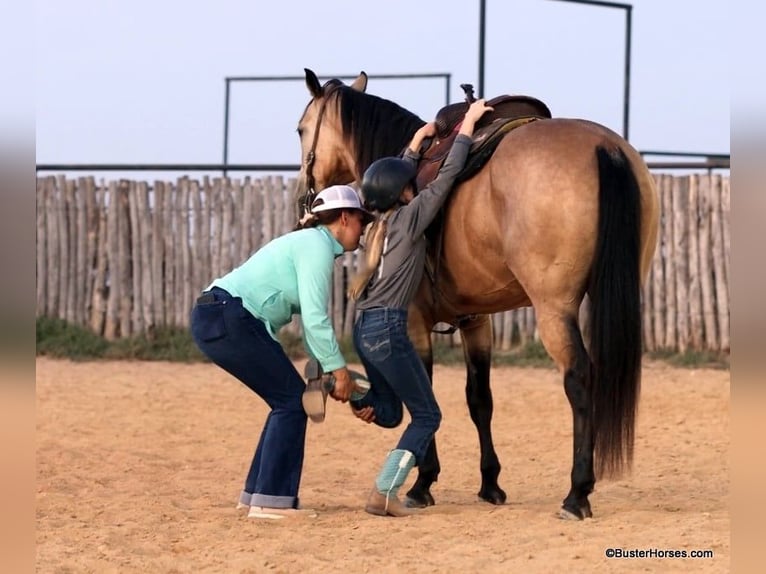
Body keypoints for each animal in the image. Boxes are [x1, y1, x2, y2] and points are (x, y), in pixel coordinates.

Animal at [294, 68, 659, 520]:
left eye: (301, 129)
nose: (305, 198)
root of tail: (604, 148)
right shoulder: (476, 321)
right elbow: (479, 400)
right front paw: (490, 483)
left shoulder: (414, 322)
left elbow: (424, 396)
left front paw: (422, 484)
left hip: (554, 310)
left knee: (579, 379)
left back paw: (577, 493)